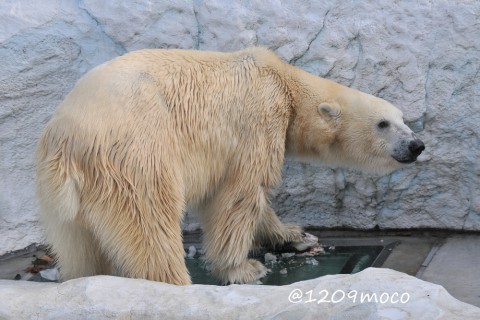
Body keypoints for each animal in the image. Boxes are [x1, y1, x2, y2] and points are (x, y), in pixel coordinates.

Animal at [38, 48, 428, 284]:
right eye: (383, 124)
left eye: (403, 119)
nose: (416, 145)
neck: (284, 82)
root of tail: (68, 140)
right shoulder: (259, 120)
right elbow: (240, 193)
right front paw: (244, 268)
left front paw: (297, 236)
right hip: (136, 155)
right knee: (150, 221)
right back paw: (177, 282)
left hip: (62, 198)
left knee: (80, 249)